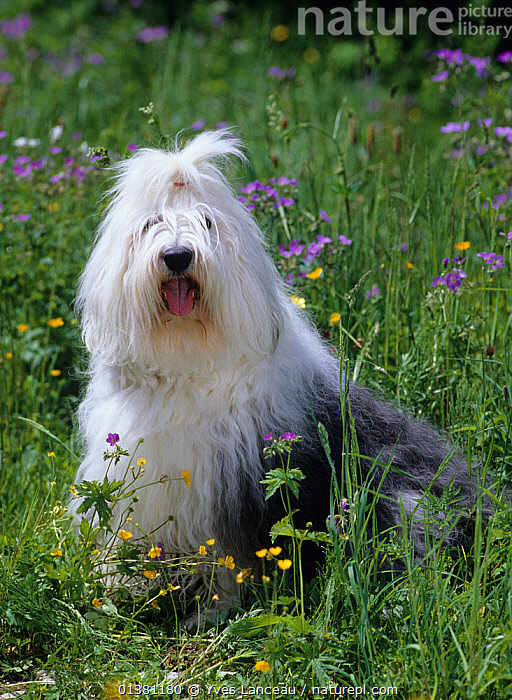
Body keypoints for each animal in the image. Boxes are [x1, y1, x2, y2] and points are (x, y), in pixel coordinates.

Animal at [77, 129, 476, 592]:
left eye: (206, 223)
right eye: (150, 224)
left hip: (406, 502)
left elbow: (230, 559)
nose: (177, 256)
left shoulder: (235, 489)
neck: (186, 360)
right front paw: (111, 586)